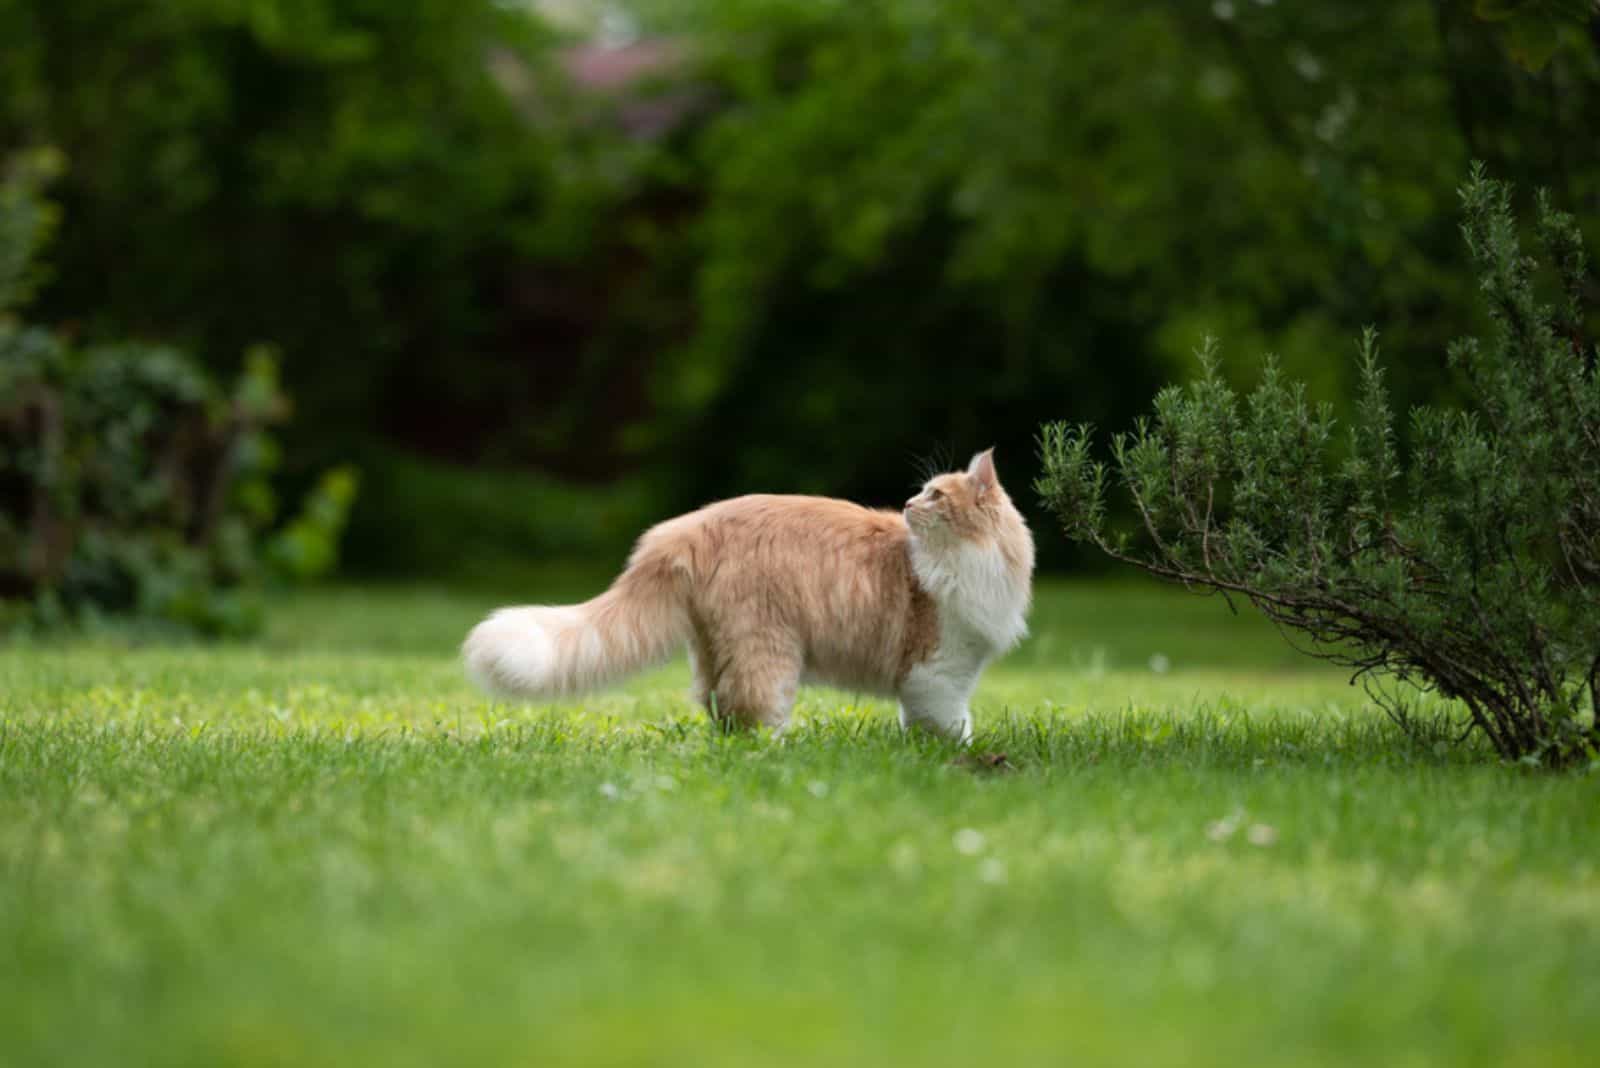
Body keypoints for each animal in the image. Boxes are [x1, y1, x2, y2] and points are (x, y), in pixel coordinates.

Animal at [464, 447, 1036, 738]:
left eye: (933, 494)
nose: (908, 504)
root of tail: (686, 525)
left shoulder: (936, 679)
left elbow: (919, 723)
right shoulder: (937, 672)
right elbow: (951, 724)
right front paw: (953, 759)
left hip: (717, 645)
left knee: (716, 703)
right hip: (768, 645)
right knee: (756, 707)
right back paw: (775, 752)